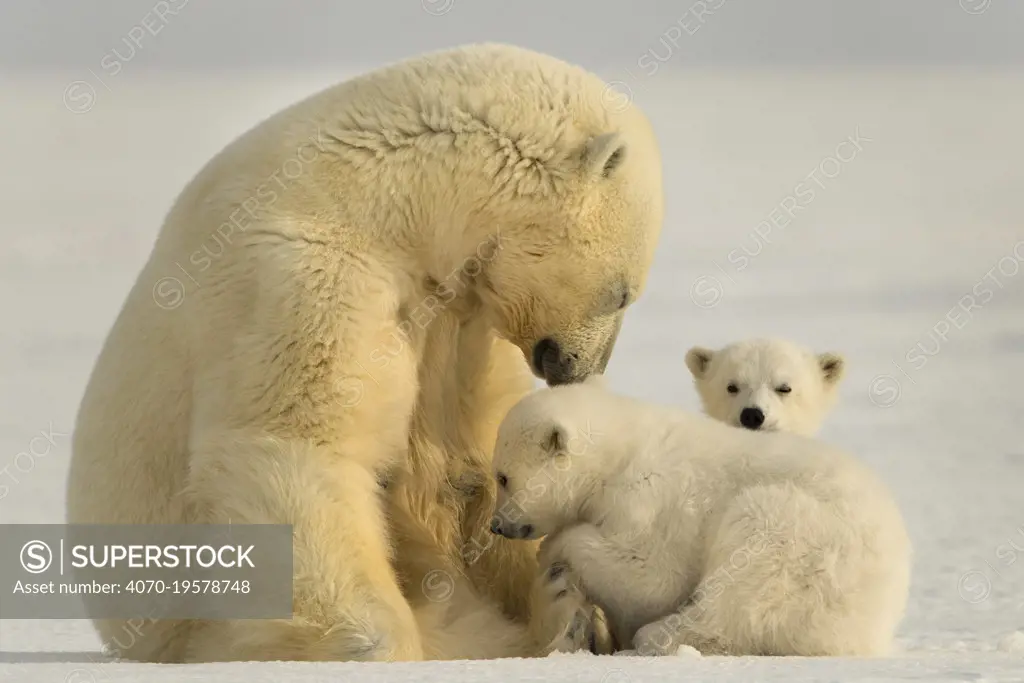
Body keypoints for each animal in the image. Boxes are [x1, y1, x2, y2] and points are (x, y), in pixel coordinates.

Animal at [70, 44, 663, 663]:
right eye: (623, 293)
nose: (581, 368)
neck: (388, 201)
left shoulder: (463, 326)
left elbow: (483, 457)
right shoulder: (307, 271)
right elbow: (300, 443)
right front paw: (375, 644)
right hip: (192, 623)